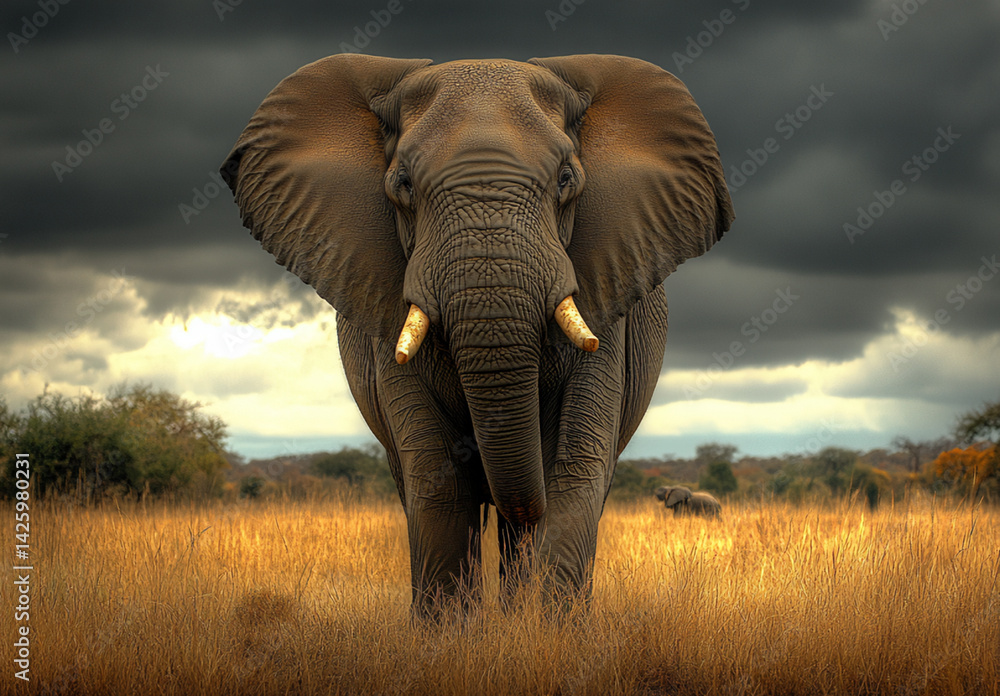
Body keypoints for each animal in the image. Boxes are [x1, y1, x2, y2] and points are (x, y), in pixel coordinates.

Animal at [222, 53, 733, 616]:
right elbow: (438, 482)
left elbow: (575, 472)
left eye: (566, 179)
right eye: (402, 185)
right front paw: (452, 635)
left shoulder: (608, 298)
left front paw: (547, 632)